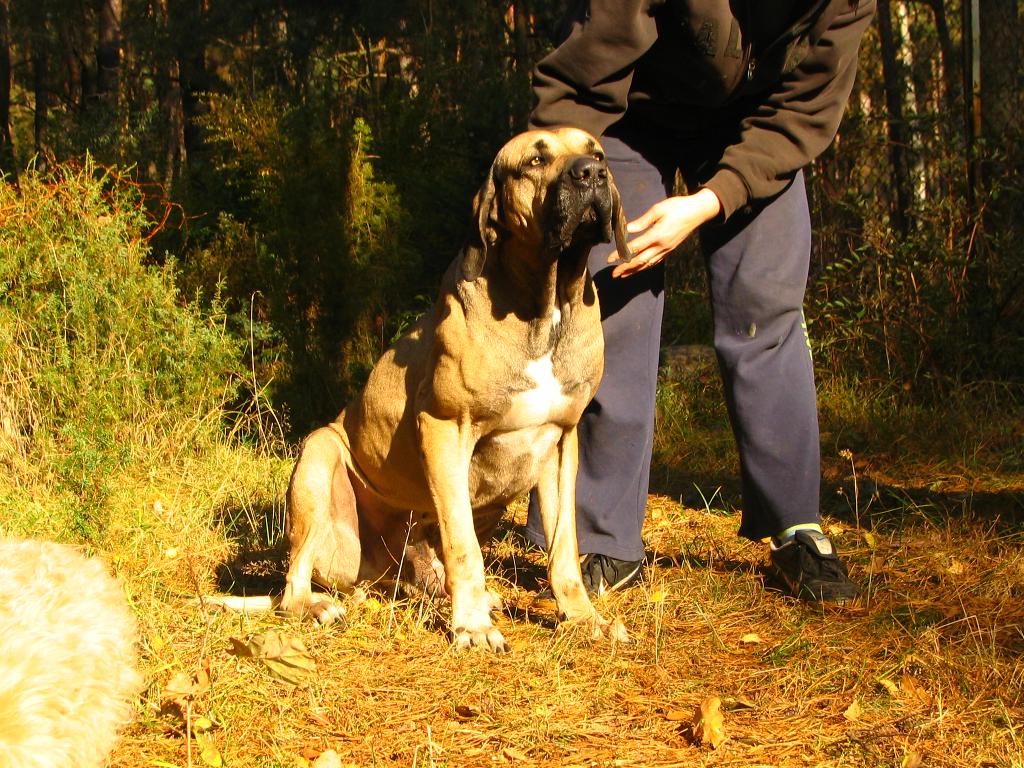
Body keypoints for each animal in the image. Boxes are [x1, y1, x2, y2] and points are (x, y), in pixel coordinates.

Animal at [280, 128, 630, 655]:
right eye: (534, 161)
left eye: (597, 151)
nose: (591, 173)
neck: (545, 308)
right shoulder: (445, 429)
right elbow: (463, 545)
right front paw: (472, 627)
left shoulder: (562, 442)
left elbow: (565, 547)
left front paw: (584, 619)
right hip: (318, 460)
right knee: (292, 585)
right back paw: (318, 605)